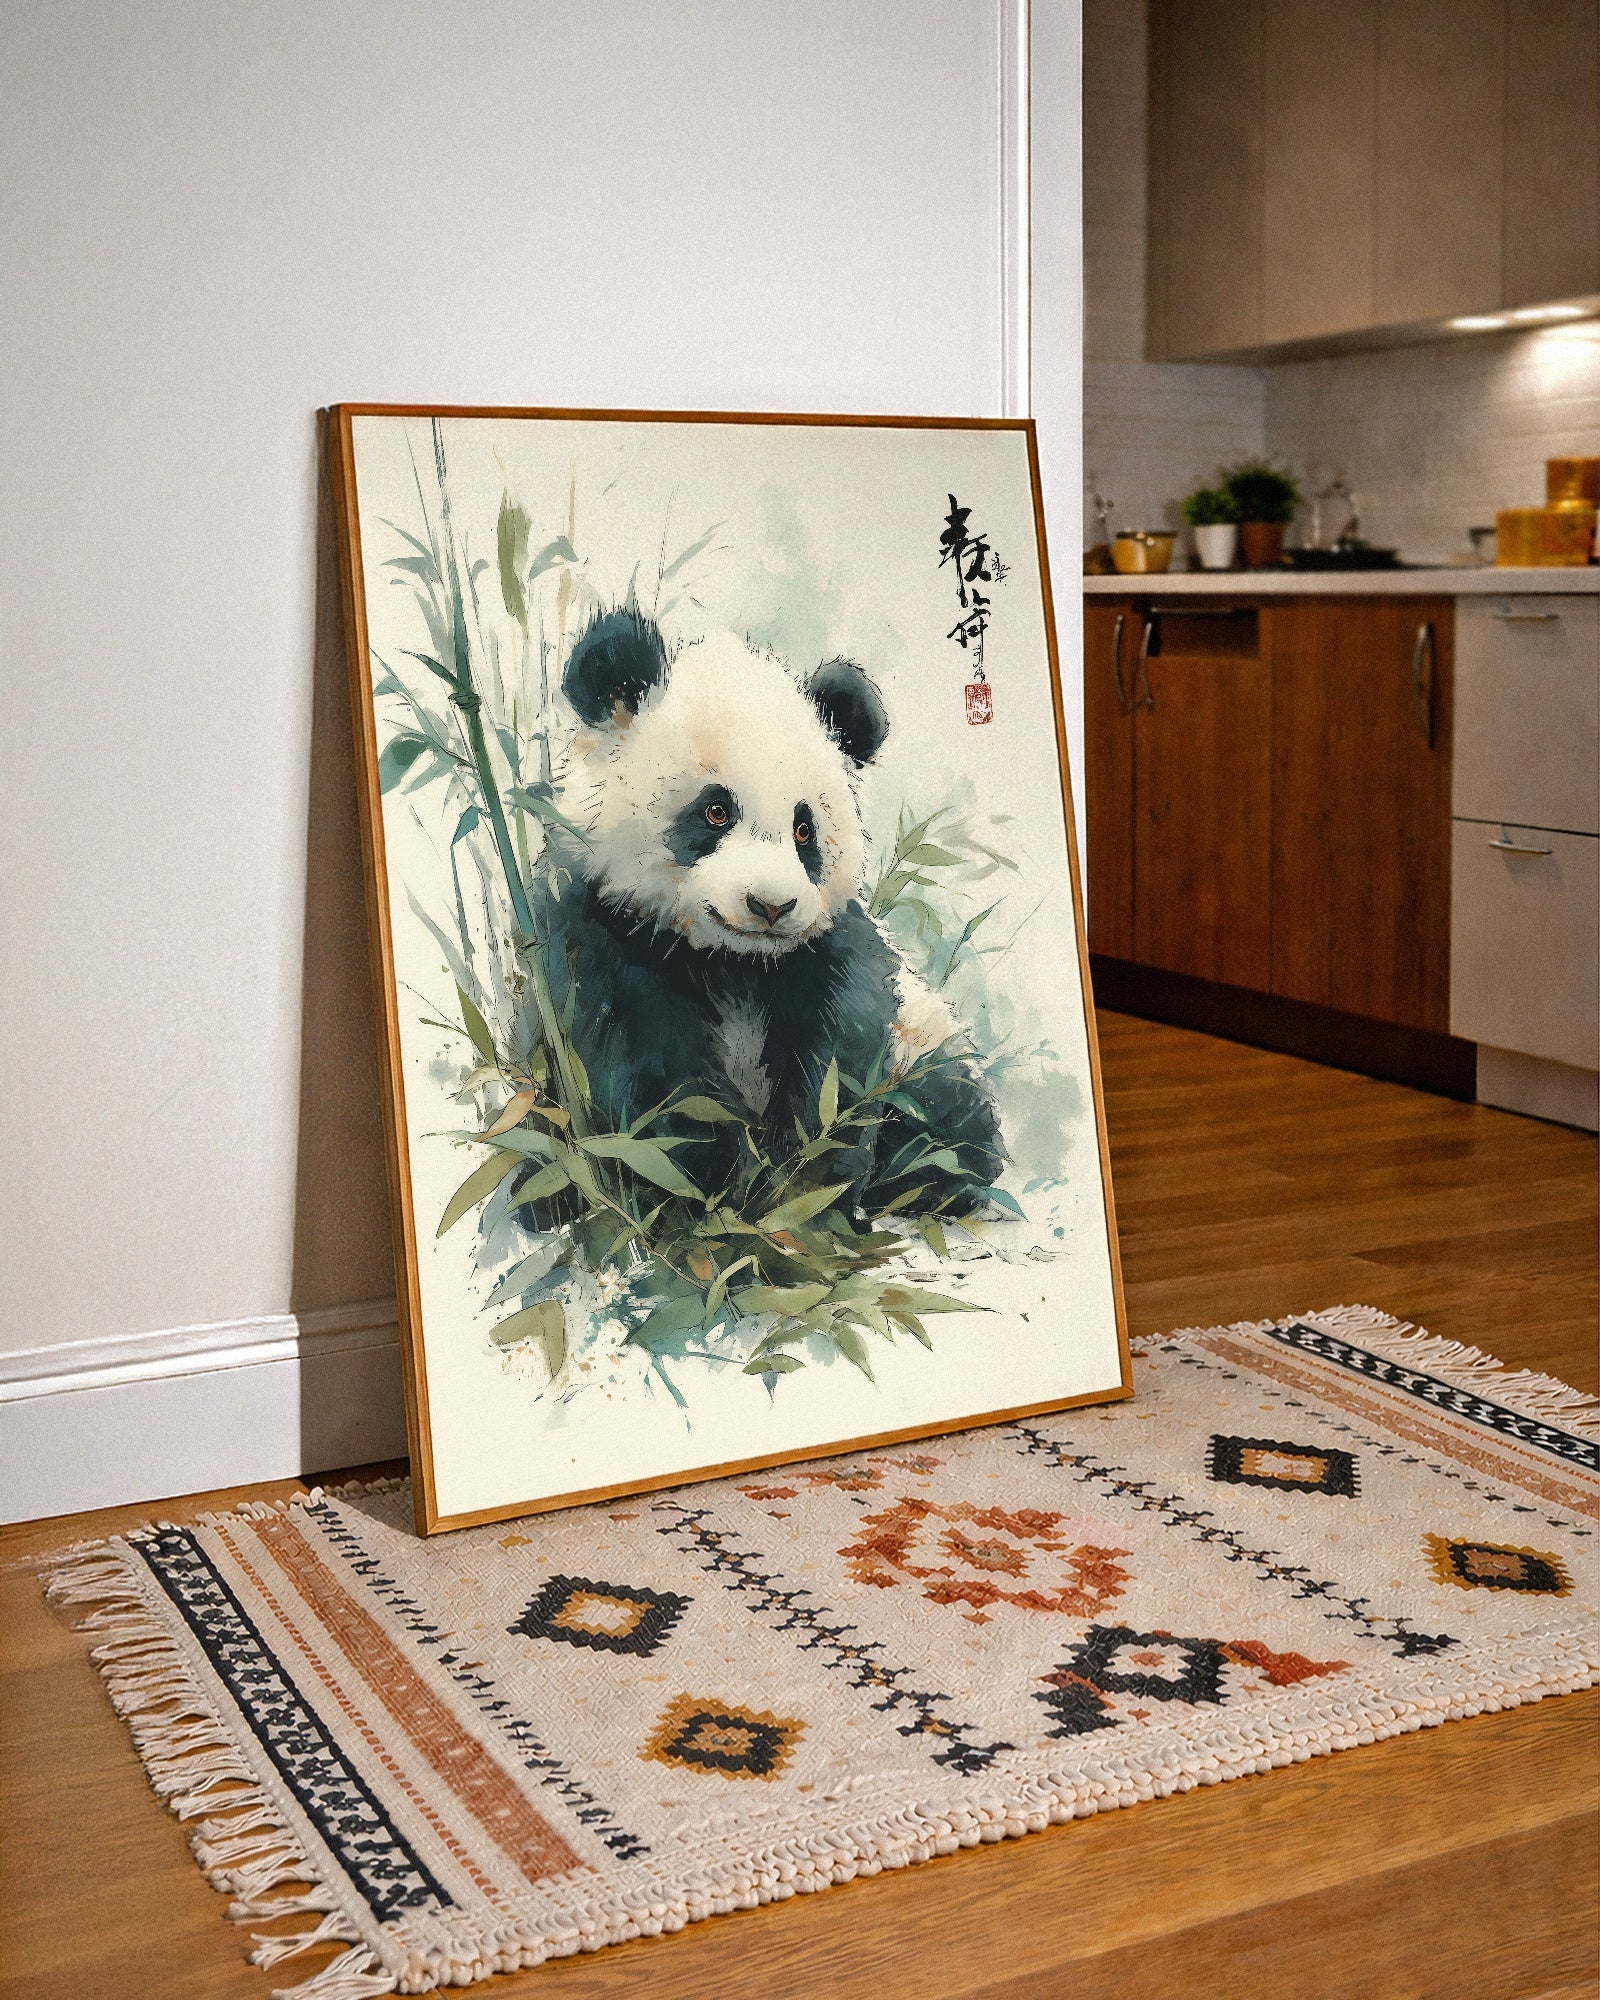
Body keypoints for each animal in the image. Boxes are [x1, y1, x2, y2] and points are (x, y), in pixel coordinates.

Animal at [530, 606, 1004, 1218]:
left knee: (946, 1115)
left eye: (805, 830)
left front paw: (799, 1185)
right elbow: (647, 1068)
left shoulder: (828, 953)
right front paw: (713, 1186)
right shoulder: (602, 929)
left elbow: (836, 1066)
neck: (730, 961)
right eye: (715, 811)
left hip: (923, 1042)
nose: (771, 905)